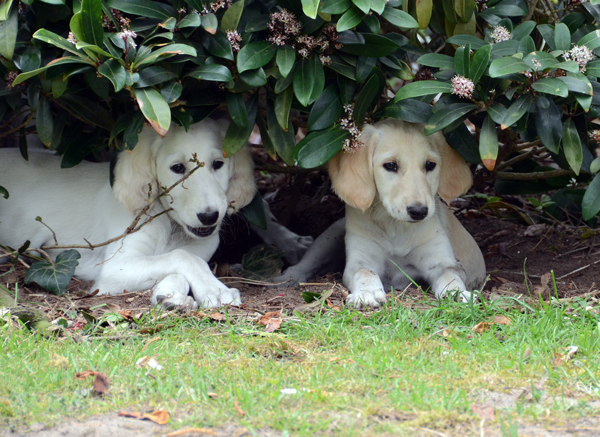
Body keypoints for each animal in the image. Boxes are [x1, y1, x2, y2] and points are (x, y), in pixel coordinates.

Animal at [0, 119, 255, 308]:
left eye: (218, 164)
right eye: (177, 168)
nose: (210, 217)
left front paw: (170, 294)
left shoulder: (201, 248)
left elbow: (185, 260)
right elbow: (181, 257)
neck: (169, 224)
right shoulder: (114, 268)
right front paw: (216, 290)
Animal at [328, 117, 488, 304]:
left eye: (430, 164)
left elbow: (450, 276)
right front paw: (367, 292)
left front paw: (457, 293)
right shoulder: (361, 259)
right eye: (390, 165)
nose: (419, 212)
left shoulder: (441, 261)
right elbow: (365, 272)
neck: (395, 226)